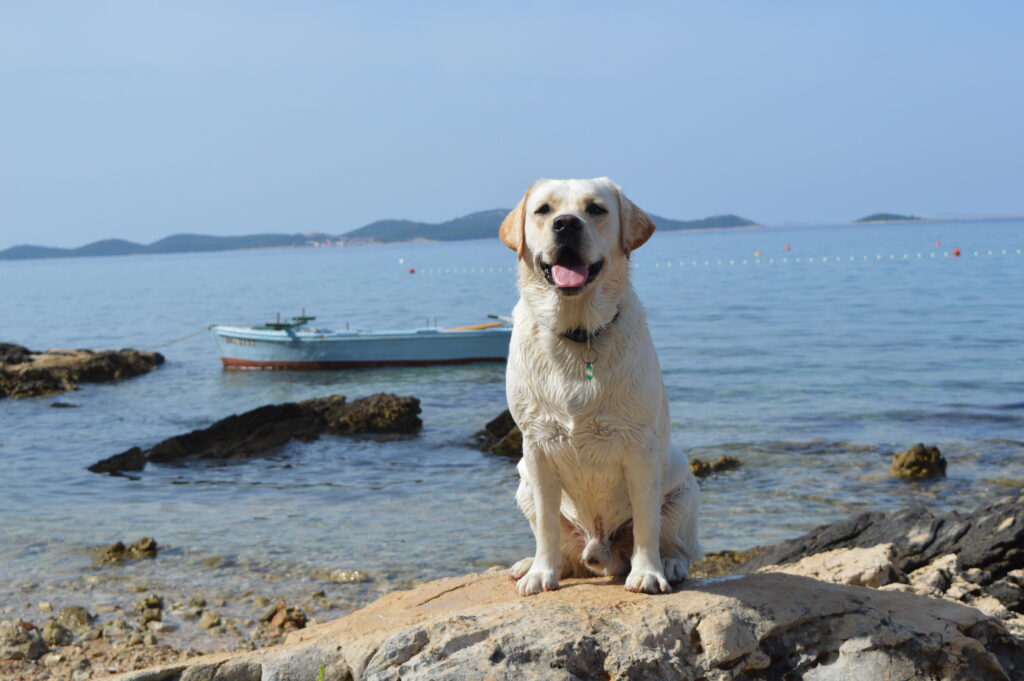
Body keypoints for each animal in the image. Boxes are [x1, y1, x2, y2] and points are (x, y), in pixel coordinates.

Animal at [497, 176, 704, 593]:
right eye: (543, 210)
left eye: (596, 209)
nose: (566, 224)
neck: (579, 334)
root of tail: (600, 550)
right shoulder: (536, 447)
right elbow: (547, 526)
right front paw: (541, 574)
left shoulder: (641, 447)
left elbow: (646, 521)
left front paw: (648, 573)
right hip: (523, 481)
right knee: (561, 547)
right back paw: (531, 564)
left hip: (683, 488)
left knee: (676, 539)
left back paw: (672, 563)